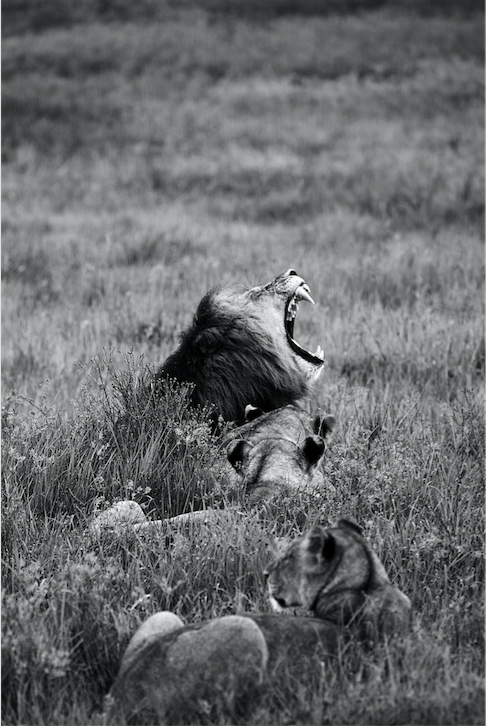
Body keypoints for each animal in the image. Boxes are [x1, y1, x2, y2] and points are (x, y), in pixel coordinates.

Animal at [105, 520, 410, 724]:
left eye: (288, 557)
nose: (264, 574)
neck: (368, 582)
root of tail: (120, 701)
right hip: (245, 627)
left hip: (166, 616)